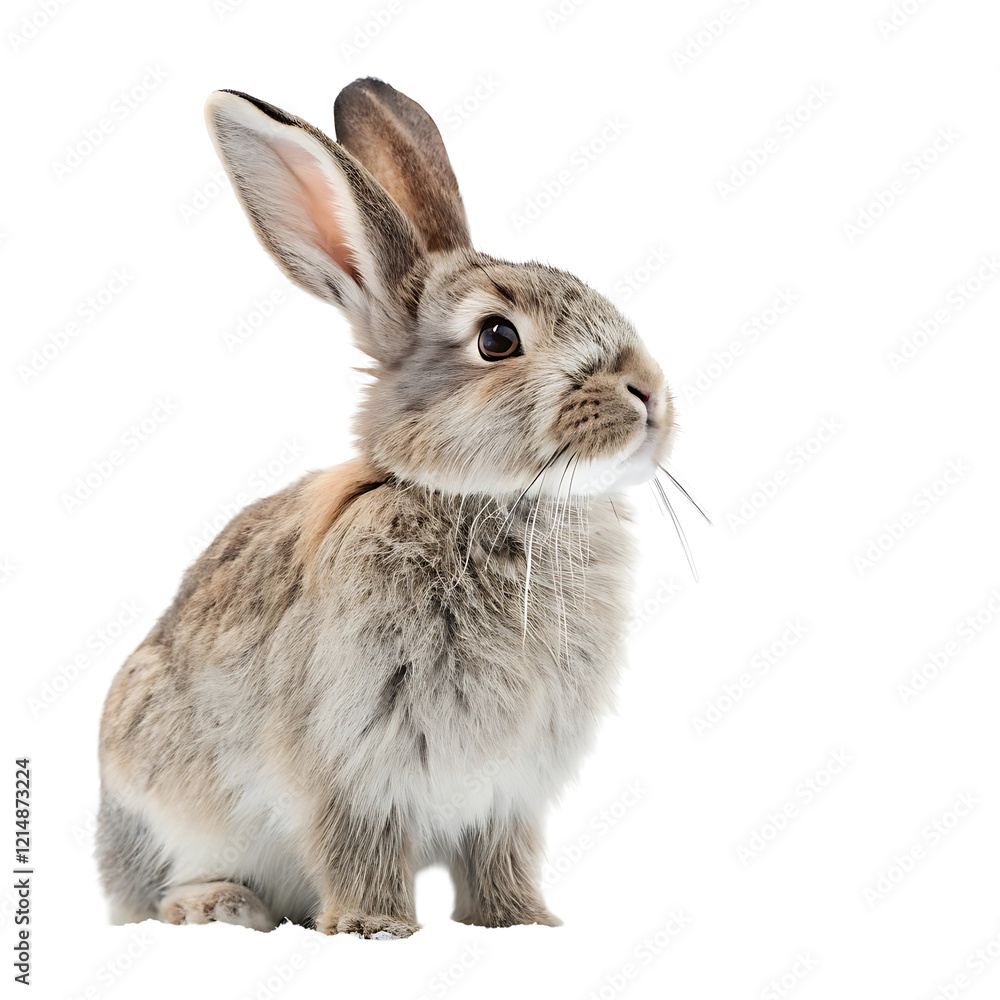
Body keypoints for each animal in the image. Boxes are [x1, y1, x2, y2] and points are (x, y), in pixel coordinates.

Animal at [96, 78, 677, 938]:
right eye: (497, 338)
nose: (649, 394)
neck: (479, 502)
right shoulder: (353, 762)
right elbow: (359, 847)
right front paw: (374, 929)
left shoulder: (511, 790)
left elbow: (501, 857)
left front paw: (522, 923)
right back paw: (220, 906)